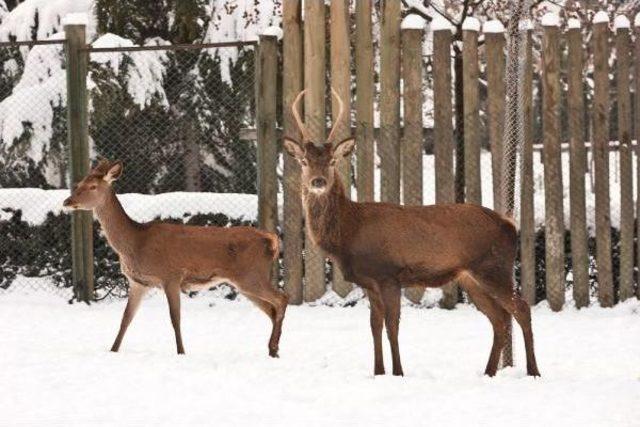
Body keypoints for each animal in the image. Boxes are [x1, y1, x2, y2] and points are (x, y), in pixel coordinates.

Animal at [63, 160, 288, 358]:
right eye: (78, 184)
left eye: (92, 186)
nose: (67, 202)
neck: (135, 243)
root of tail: (271, 240)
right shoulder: (138, 283)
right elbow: (126, 318)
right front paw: (113, 350)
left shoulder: (171, 275)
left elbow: (175, 318)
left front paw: (181, 352)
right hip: (245, 282)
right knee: (272, 309)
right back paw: (273, 350)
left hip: (251, 275)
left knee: (281, 298)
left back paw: (274, 347)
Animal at [284, 89, 540, 378]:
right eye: (304, 161)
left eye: (332, 161)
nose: (318, 181)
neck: (350, 232)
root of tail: (509, 224)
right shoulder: (369, 282)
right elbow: (375, 326)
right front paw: (378, 371)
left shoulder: (388, 275)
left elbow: (392, 326)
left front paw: (398, 372)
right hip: (471, 277)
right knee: (500, 318)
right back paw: (488, 372)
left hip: (494, 267)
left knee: (521, 309)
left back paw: (533, 371)